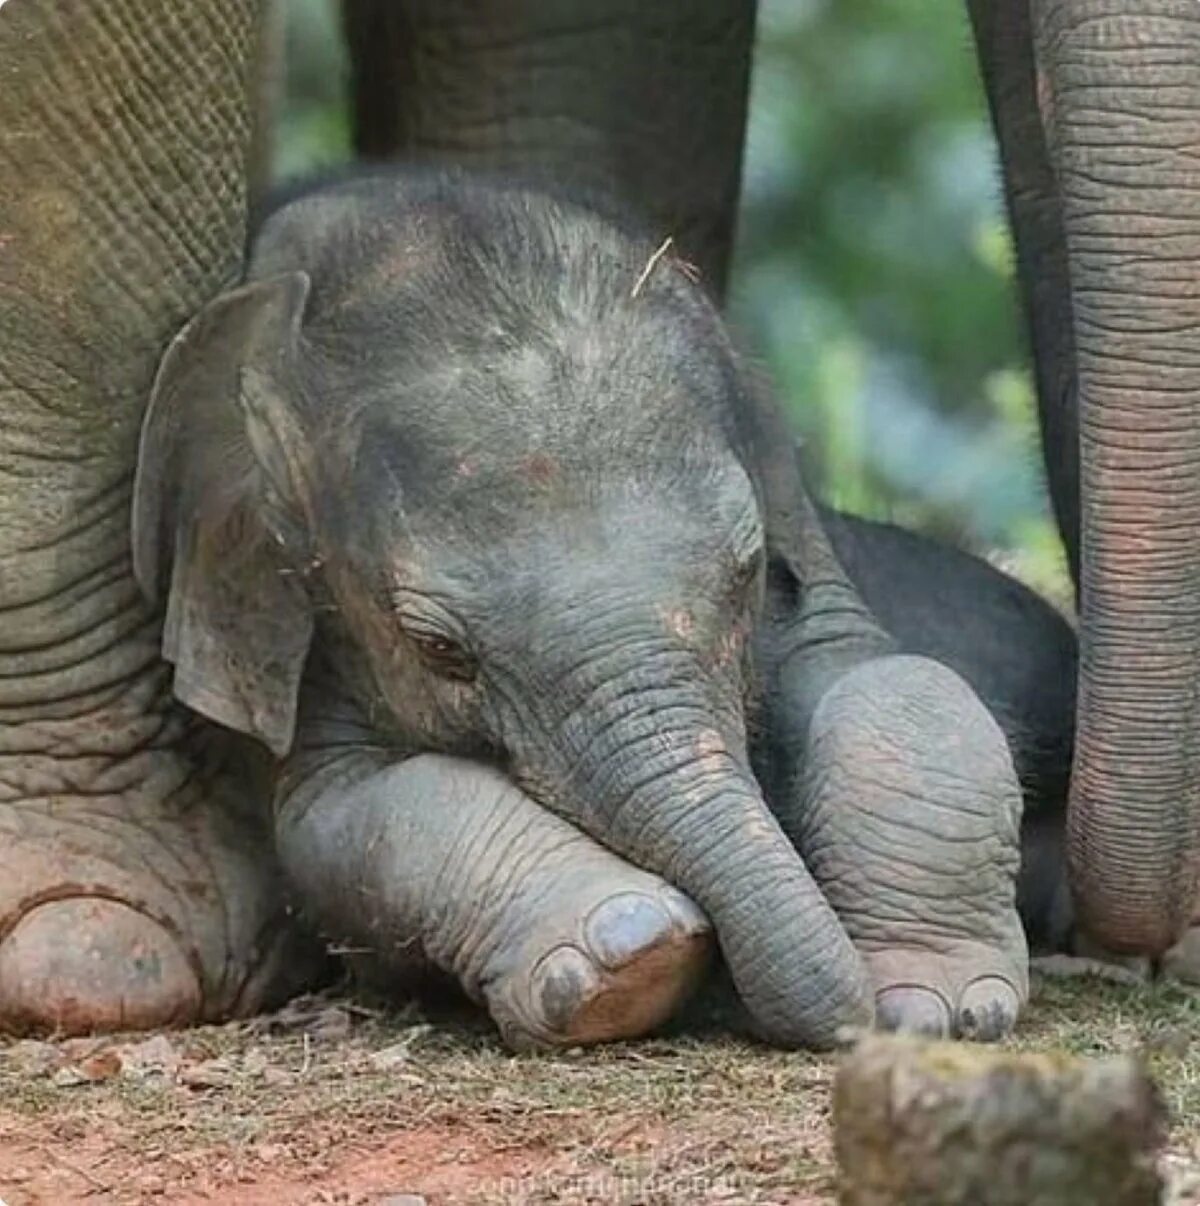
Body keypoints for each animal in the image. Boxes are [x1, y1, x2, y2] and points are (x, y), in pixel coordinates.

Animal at [136, 170, 1027, 1046]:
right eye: (439, 649)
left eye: (749, 572)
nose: (853, 1024)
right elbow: (336, 815)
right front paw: (631, 958)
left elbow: (884, 678)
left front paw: (940, 1005)